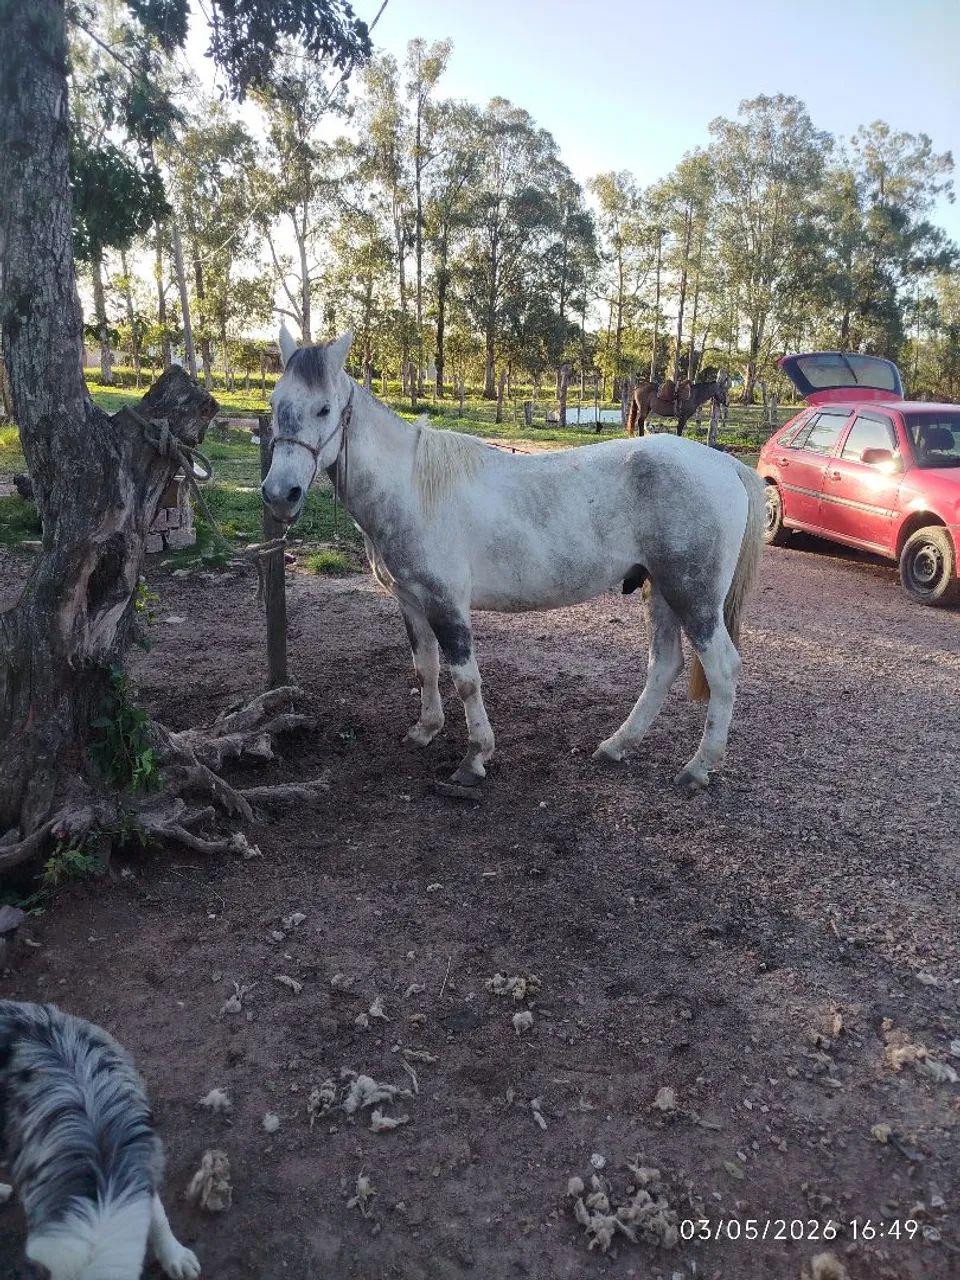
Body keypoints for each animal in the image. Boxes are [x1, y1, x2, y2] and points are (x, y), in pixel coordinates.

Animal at [261, 328, 765, 793]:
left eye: (324, 409)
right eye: (275, 401)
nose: (280, 494)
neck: (413, 488)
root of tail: (725, 465)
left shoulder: (447, 605)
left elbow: (465, 679)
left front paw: (474, 757)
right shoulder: (411, 602)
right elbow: (425, 668)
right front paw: (425, 730)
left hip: (693, 597)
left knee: (723, 669)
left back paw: (698, 768)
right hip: (658, 590)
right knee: (663, 665)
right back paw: (616, 746)